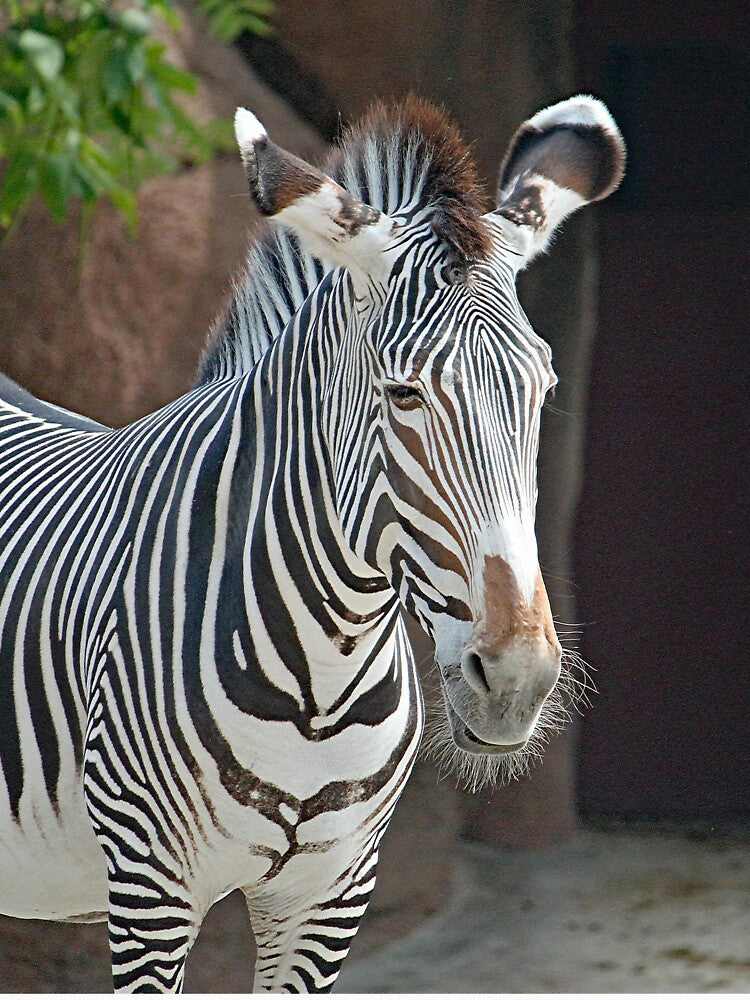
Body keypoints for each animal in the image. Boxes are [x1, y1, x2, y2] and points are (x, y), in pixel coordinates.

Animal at [0, 95, 624, 992]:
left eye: (542, 391)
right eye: (402, 394)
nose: (516, 682)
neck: (323, 684)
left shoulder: (330, 895)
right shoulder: (150, 889)